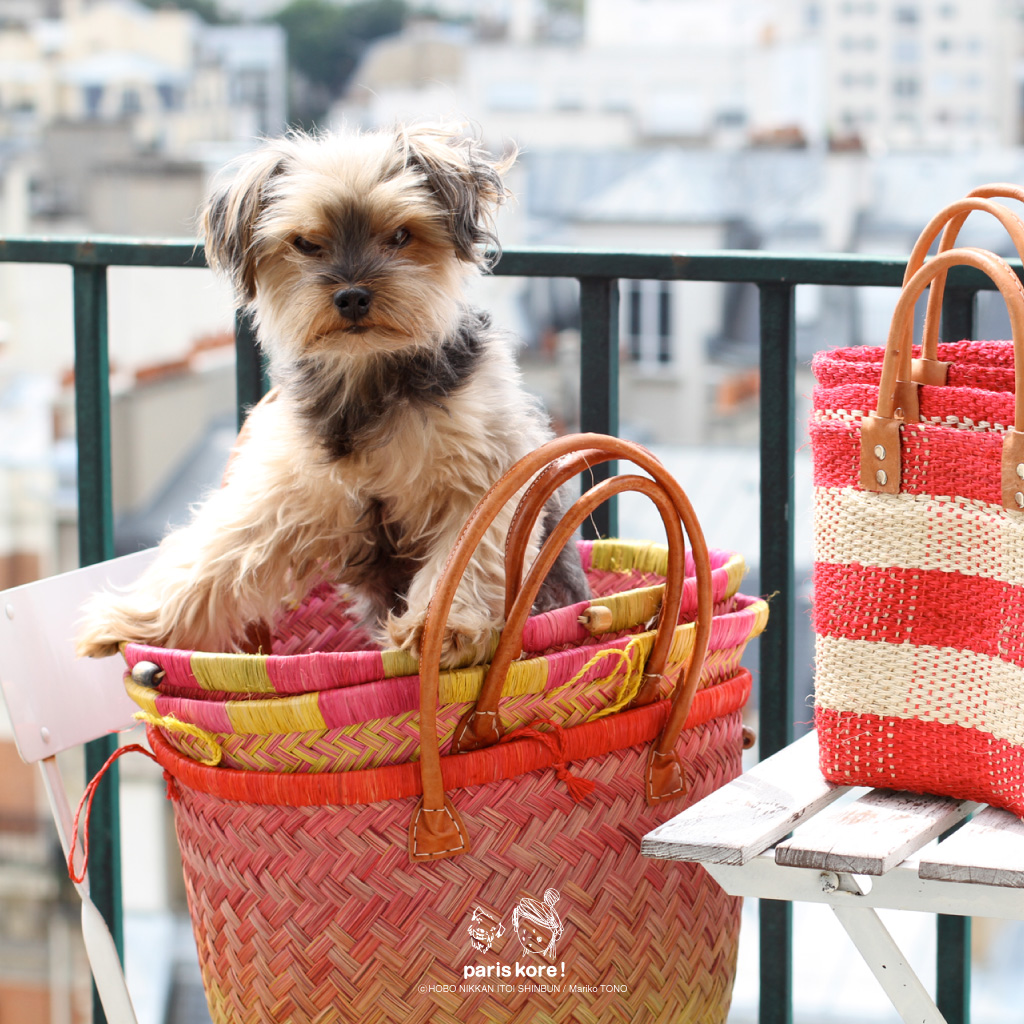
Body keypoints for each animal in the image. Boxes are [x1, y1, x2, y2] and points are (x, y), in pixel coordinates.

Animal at [75, 122, 590, 667]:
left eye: (401, 235)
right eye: (305, 243)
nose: (353, 295)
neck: (367, 375)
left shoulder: (483, 472)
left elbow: (468, 549)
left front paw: (441, 628)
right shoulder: (282, 491)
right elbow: (217, 554)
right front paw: (137, 621)